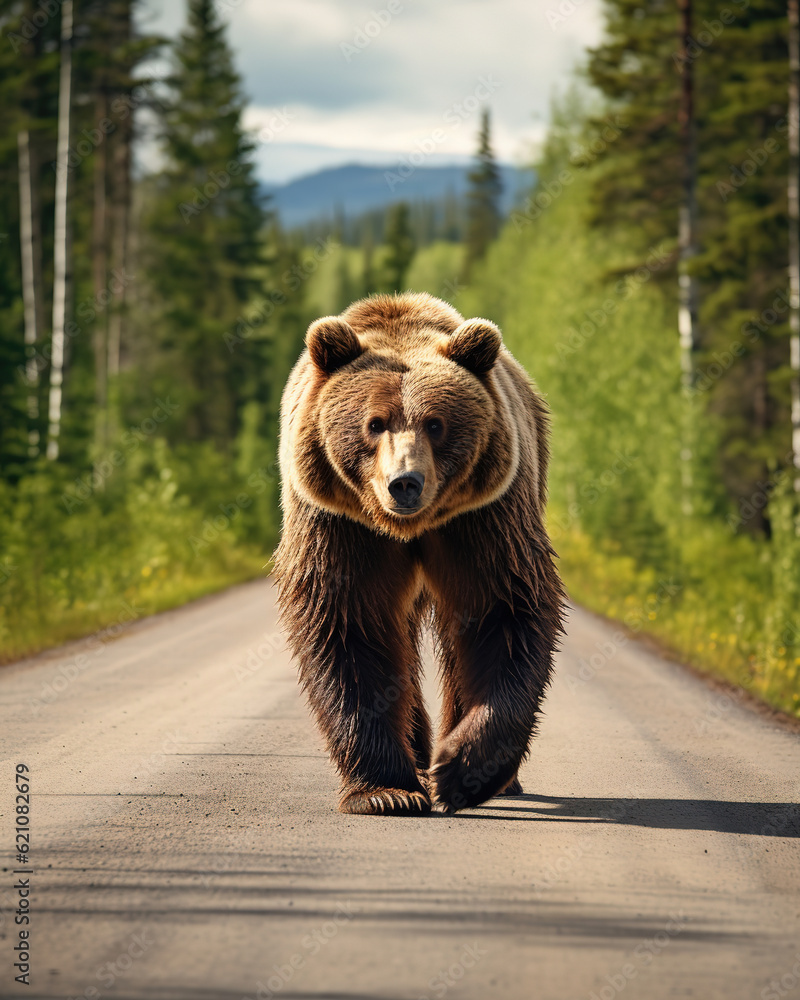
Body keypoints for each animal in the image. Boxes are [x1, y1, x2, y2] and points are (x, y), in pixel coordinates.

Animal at [274, 291, 564, 815]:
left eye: (435, 423)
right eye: (374, 423)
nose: (404, 483)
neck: (408, 529)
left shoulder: (482, 517)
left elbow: (503, 608)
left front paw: (462, 771)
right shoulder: (341, 525)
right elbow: (347, 620)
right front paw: (385, 791)